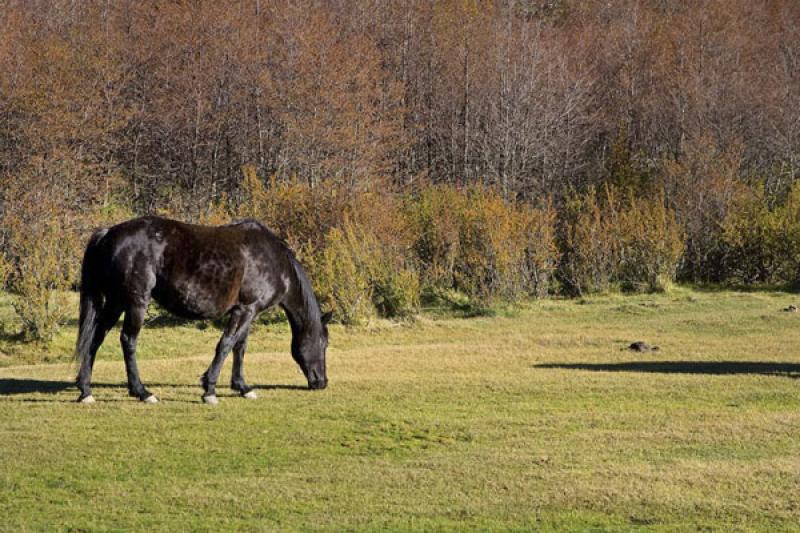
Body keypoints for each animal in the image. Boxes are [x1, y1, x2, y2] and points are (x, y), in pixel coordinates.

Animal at [72, 215, 328, 404]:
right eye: (324, 343)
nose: (321, 382)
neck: (273, 260)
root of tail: (108, 233)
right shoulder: (244, 310)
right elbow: (226, 345)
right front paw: (210, 390)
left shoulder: (248, 311)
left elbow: (240, 347)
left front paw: (242, 387)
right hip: (135, 302)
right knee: (128, 340)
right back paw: (142, 392)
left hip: (116, 302)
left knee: (95, 338)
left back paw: (85, 390)